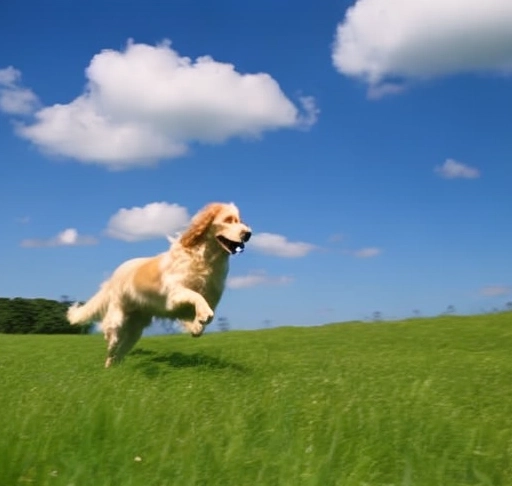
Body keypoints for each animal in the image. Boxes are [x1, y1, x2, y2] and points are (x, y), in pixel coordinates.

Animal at [68, 202, 252, 368]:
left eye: (240, 220)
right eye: (228, 220)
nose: (248, 234)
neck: (206, 260)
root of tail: (113, 277)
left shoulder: (202, 300)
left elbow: (200, 316)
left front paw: (196, 327)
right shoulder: (174, 294)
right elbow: (197, 297)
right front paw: (202, 316)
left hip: (135, 332)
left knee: (119, 352)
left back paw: (113, 368)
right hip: (117, 321)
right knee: (112, 342)